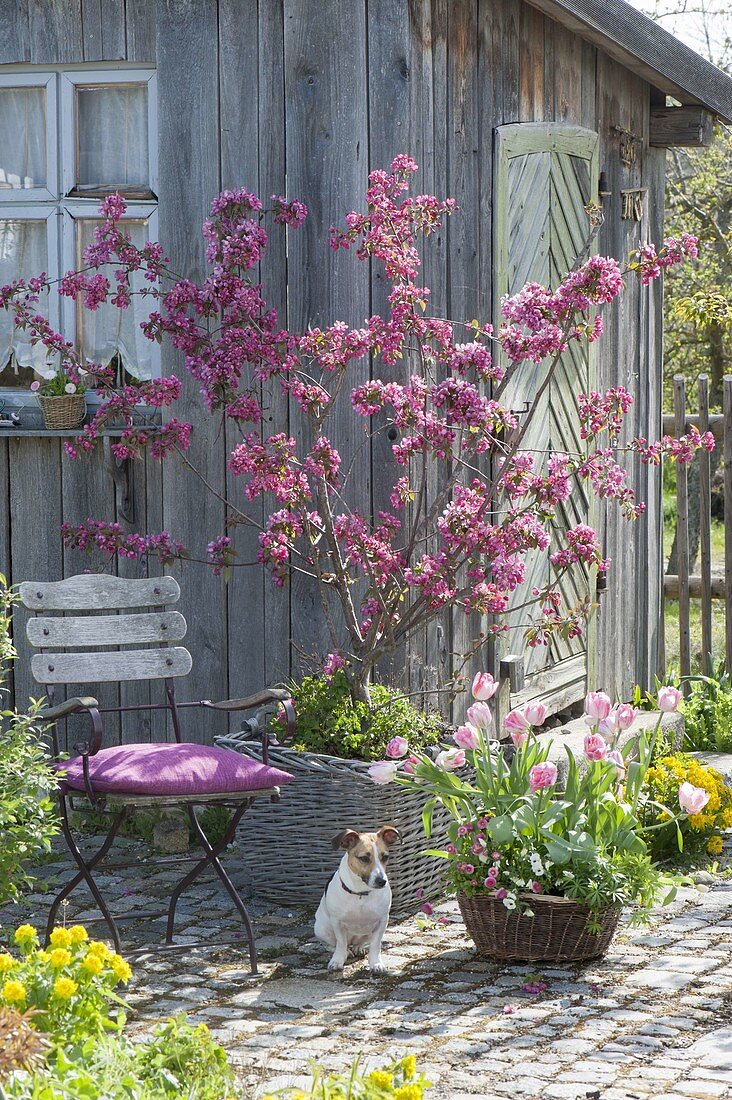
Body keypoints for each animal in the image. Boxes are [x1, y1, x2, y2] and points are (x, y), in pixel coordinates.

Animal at [314, 827, 400, 972]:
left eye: (385, 857)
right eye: (364, 858)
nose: (382, 881)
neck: (361, 893)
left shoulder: (382, 921)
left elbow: (375, 945)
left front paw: (376, 963)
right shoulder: (337, 922)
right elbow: (341, 944)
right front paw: (338, 960)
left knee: (361, 942)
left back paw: (358, 947)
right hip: (321, 929)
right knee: (332, 944)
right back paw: (346, 951)